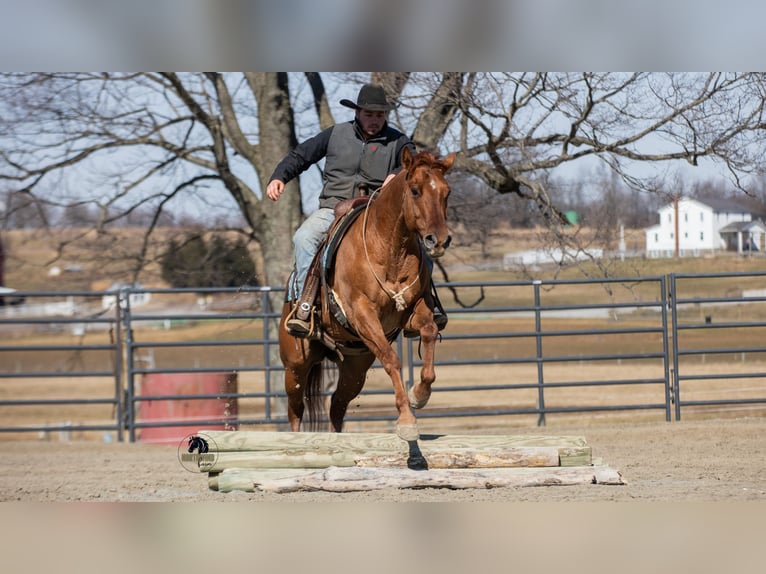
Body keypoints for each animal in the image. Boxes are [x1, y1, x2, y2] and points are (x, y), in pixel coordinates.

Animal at [278, 147, 456, 442]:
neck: (389, 248)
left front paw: (420, 395)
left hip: (355, 367)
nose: (439, 240)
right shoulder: (362, 315)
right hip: (295, 364)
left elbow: (430, 332)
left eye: (446, 192)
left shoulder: (414, 310)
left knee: (337, 405)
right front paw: (407, 420)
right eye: (415, 190)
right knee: (296, 408)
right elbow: (392, 360)